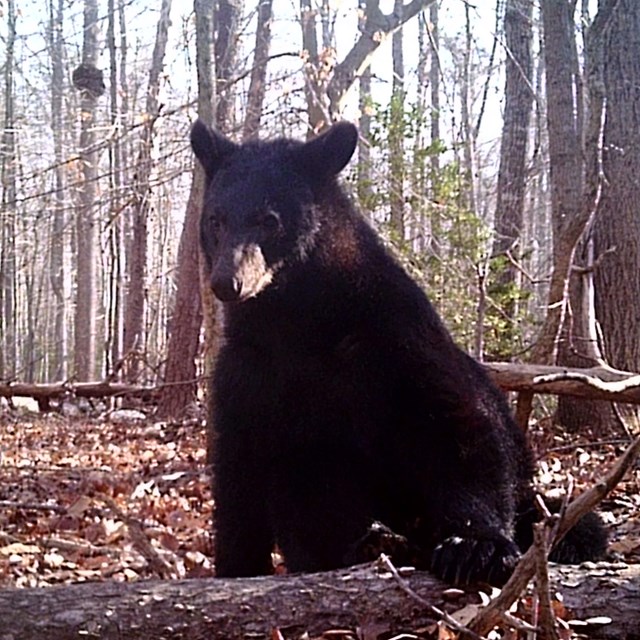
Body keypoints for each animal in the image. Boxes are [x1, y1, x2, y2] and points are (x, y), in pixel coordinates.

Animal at [189, 119, 607, 586]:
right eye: (215, 220)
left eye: (270, 220)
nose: (227, 281)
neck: (294, 324)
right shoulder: (246, 375)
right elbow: (238, 479)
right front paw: (236, 568)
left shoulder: (395, 340)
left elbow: (461, 428)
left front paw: (475, 546)